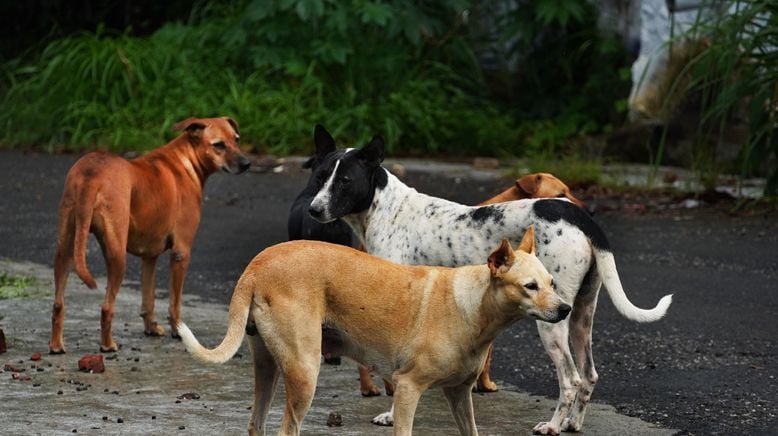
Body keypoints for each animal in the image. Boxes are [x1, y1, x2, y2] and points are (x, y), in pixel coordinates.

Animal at [49, 116, 249, 354]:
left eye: (237, 139)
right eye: (219, 145)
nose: (246, 164)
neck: (186, 160)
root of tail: (92, 173)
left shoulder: (149, 256)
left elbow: (148, 299)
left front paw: (151, 327)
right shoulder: (181, 253)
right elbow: (174, 304)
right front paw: (177, 331)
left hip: (64, 249)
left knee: (58, 304)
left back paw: (56, 345)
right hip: (117, 256)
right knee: (106, 307)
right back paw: (107, 345)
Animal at [177, 230, 568, 434]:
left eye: (552, 282)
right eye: (530, 286)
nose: (566, 309)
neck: (473, 305)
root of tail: (258, 264)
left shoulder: (459, 394)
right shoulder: (408, 389)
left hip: (269, 369)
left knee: (256, 425)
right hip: (304, 373)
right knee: (286, 428)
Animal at [306, 135, 668, 434]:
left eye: (345, 181)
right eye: (320, 178)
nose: (313, 210)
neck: (388, 210)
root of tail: (580, 217)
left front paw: (392, 415)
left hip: (553, 322)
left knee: (571, 379)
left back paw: (552, 426)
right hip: (580, 316)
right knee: (589, 375)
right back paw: (572, 423)